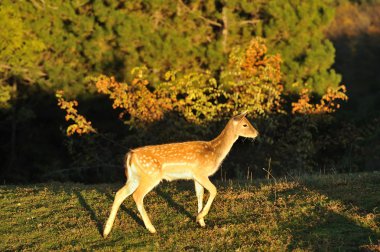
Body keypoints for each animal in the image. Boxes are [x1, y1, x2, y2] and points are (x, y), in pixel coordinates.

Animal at [103, 111, 258, 237]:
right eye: (245, 124)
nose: (257, 133)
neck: (214, 152)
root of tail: (131, 154)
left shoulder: (195, 176)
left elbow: (199, 194)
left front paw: (201, 221)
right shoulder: (201, 173)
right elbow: (214, 190)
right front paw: (200, 217)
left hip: (134, 177)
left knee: (119, 194)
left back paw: (106, 231)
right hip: (151, 175)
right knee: (137, 195)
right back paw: (152, 229)